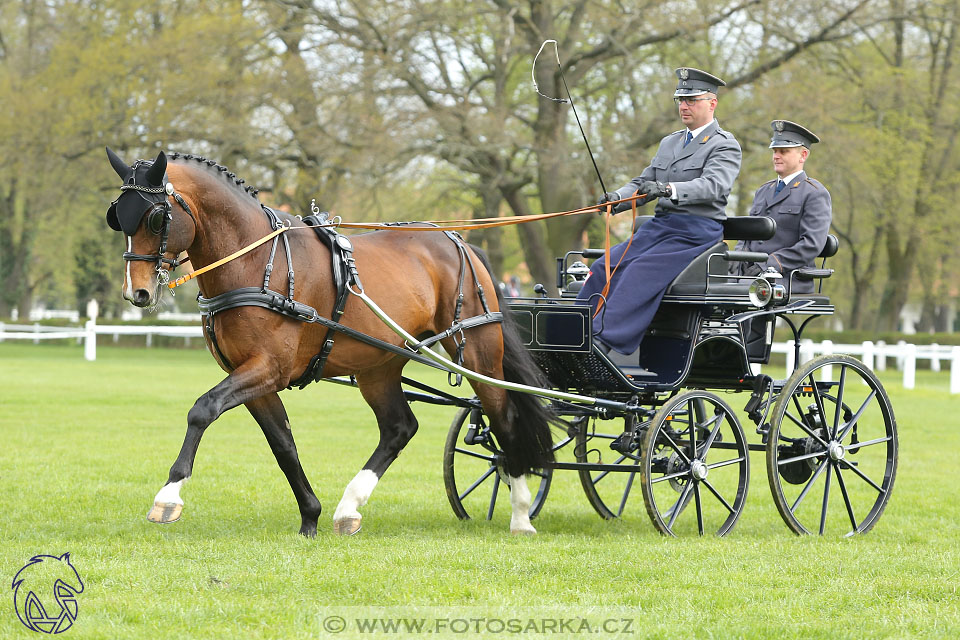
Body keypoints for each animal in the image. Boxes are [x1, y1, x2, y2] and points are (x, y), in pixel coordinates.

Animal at [103, 148, 556, 536]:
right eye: (117, 217)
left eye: (156, 218)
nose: (136, 293)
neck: (256, 261)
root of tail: (458, 240)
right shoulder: (253, 377)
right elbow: (283, 443)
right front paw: (310, 516)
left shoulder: (268, 368)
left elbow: (203, 409)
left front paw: (168, 496)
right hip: (378, 367)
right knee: (400, 427)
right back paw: (348, 508)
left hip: (479, 356)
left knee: (504, 419)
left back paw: (520, 514)